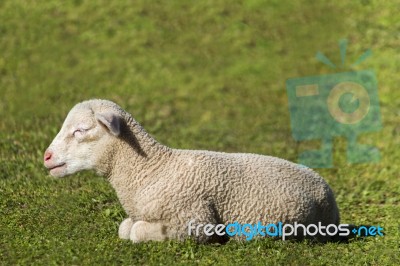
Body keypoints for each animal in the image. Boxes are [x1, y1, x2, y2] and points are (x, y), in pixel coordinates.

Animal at [43, 99, 340, 243]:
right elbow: (125, 227)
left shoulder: (194, 219)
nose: (46, 157)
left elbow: (135, 232)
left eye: (81, 130)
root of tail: (327, 191)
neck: (152, 169)